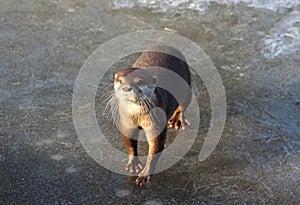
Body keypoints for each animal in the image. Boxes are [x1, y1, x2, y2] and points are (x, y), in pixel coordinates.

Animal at [111, 45, 191, 187]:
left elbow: (155, 146)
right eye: (120, 81)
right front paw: (134, 164)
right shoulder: (126, 122)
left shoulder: (156, 122)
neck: (138, 116)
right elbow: (129, 141)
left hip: (187, 83)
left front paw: (144, 174)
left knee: (183, 103)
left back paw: (177, 119)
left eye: (140, 81)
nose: (126, 88)